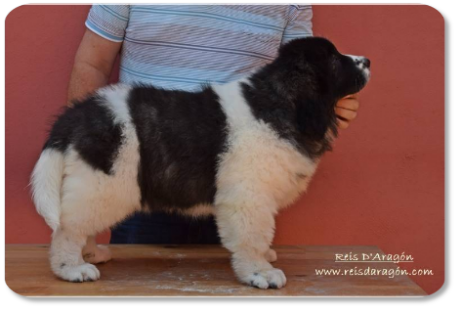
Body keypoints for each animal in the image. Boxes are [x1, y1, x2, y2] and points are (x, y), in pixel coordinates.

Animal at [30, 37, 370, 290]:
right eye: (335, 60)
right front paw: (260, 272)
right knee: (67, 228)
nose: (367, 60)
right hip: (104, 180)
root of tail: (76, 115)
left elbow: (261, 234)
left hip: (92, 183)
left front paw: (266, 257)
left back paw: (89, 252)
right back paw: (72, 267)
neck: (282, 101)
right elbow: (253, 235)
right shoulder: (247, 196)